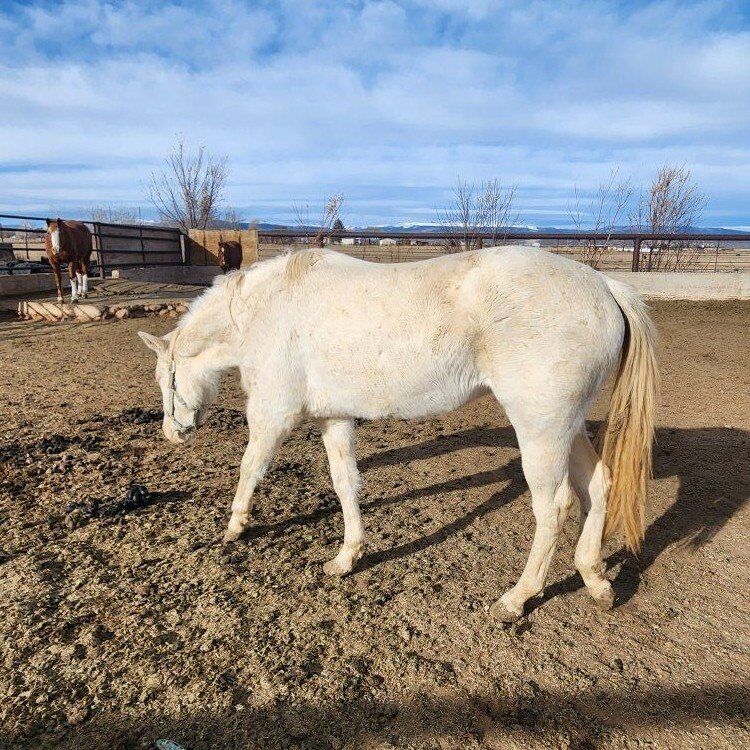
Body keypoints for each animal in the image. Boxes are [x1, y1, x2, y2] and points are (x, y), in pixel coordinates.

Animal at [138, 246, 658, 622]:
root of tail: (603, 285)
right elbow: (345, 485)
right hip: (566, 426)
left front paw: (235, 527)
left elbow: (250, 468)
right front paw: (346, 557)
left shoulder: (273, 414)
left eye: (166, 380)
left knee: (554, 507)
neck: (266, 311)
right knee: (598, 486)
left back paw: (516, 599)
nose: (172, 433)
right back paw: (595, 580)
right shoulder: (334, 418)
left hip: (541, 429)